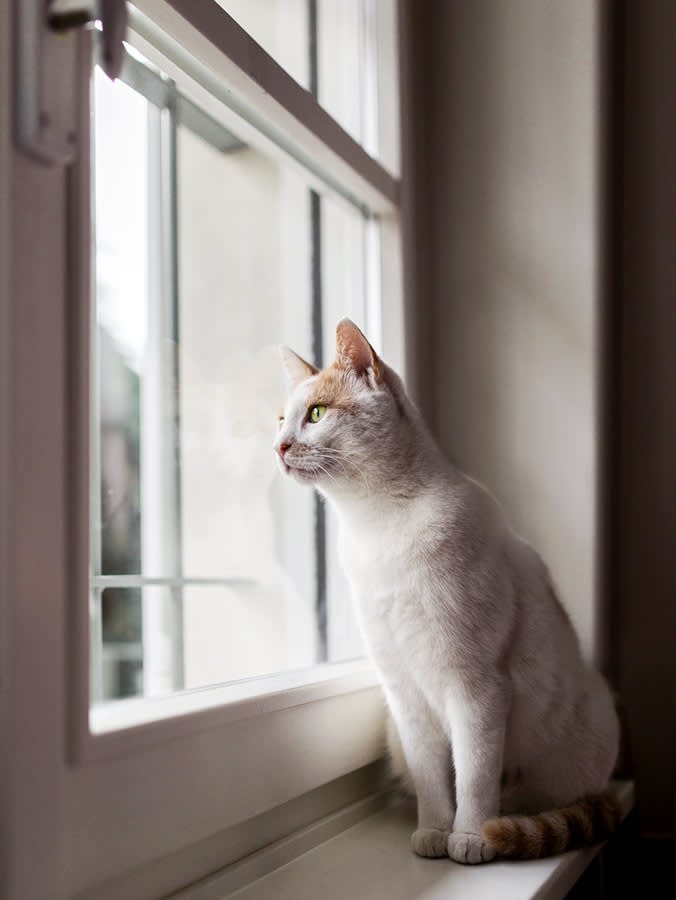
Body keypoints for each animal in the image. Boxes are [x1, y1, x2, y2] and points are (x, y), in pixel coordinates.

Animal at [272, 318, 620, 864]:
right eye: (280, 419)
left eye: (317, 413)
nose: (279, 448)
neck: (377, 526)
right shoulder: (405, 694)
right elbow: (433, 780)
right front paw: (434, 832)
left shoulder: (477, 689)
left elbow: (475, 776)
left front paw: (473, 836)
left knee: (537, 797)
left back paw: (510, 820)